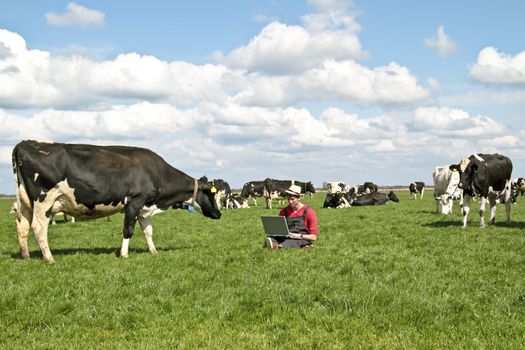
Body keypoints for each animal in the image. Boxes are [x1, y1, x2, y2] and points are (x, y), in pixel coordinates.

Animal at [11, 139, 221, 262]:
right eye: (212, 194)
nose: (219, 213)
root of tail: (25, 143)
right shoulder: (134, 202)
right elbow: (128, 230)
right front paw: (124, 254)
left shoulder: (145, 207)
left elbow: (148, 232)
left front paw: (153, 251)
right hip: (43, 201)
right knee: (39, 228)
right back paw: (49, 258)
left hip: (26, 202)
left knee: (22, 226)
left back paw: (25, 256)